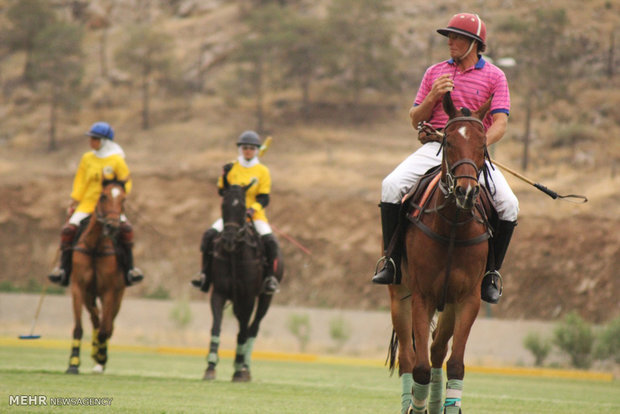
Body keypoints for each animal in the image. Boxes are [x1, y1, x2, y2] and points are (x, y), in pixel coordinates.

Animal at [65, 178, 127, 376]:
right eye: (103, 196)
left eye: (123, 199)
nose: (112, 226)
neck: (94, 247)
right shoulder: (78, 288)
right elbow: (79, 327)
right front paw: (73, 364)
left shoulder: (109, 291)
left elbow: (105, 330)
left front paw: (101, 357)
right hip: (89, 294)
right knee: (95, 319)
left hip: (118, 295)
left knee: (107, 325)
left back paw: (100, 357)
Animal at [203, 183, 284, 384]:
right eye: (223, 205)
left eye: (242, 207)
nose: (229, 240)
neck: (235, 254)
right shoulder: (219, 293)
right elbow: (216, 326)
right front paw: (210, 367)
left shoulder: (248, 297)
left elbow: (243, 332)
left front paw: (239, 372)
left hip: (265, 298)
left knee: (253, 328)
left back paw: (245, 367)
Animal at [388, 93, 494, 414]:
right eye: (448, 141)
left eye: (482, 143)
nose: (466, 192)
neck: (453, 226)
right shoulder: (422, 296)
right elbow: (419, 367)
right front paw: (416, 406)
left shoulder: (468, 299)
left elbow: (455, 363)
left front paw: (449, 404)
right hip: (400, 296)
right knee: (409, 358)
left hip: (448, 305)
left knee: (436, 351)